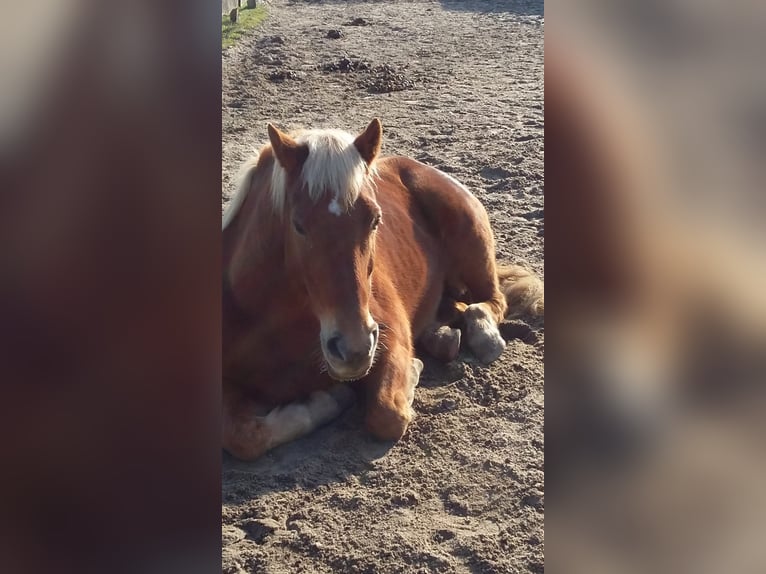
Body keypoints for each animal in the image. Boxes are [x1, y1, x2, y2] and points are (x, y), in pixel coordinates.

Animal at [222, 119, 544, 462]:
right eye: (298, 225)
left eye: (375, 220)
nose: (354, 349)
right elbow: (241, 436)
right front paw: (324, 402)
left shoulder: (390, 338)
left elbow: (387, 414)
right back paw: (441, 336)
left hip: (473, 247)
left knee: (490, 301)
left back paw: (483, 336)